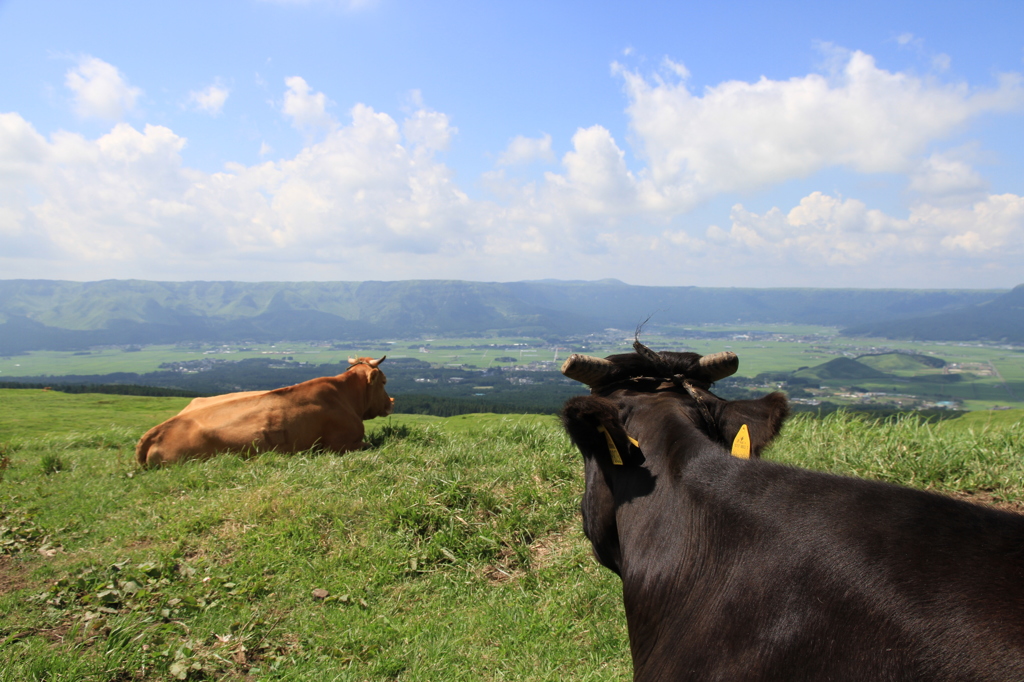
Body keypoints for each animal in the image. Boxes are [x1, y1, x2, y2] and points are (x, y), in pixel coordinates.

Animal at [136, 352, 391, 464]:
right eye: (384, 381)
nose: (391, 402)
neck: (345, 395)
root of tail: (154, 433)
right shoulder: (341, 444)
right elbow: (371, 445)